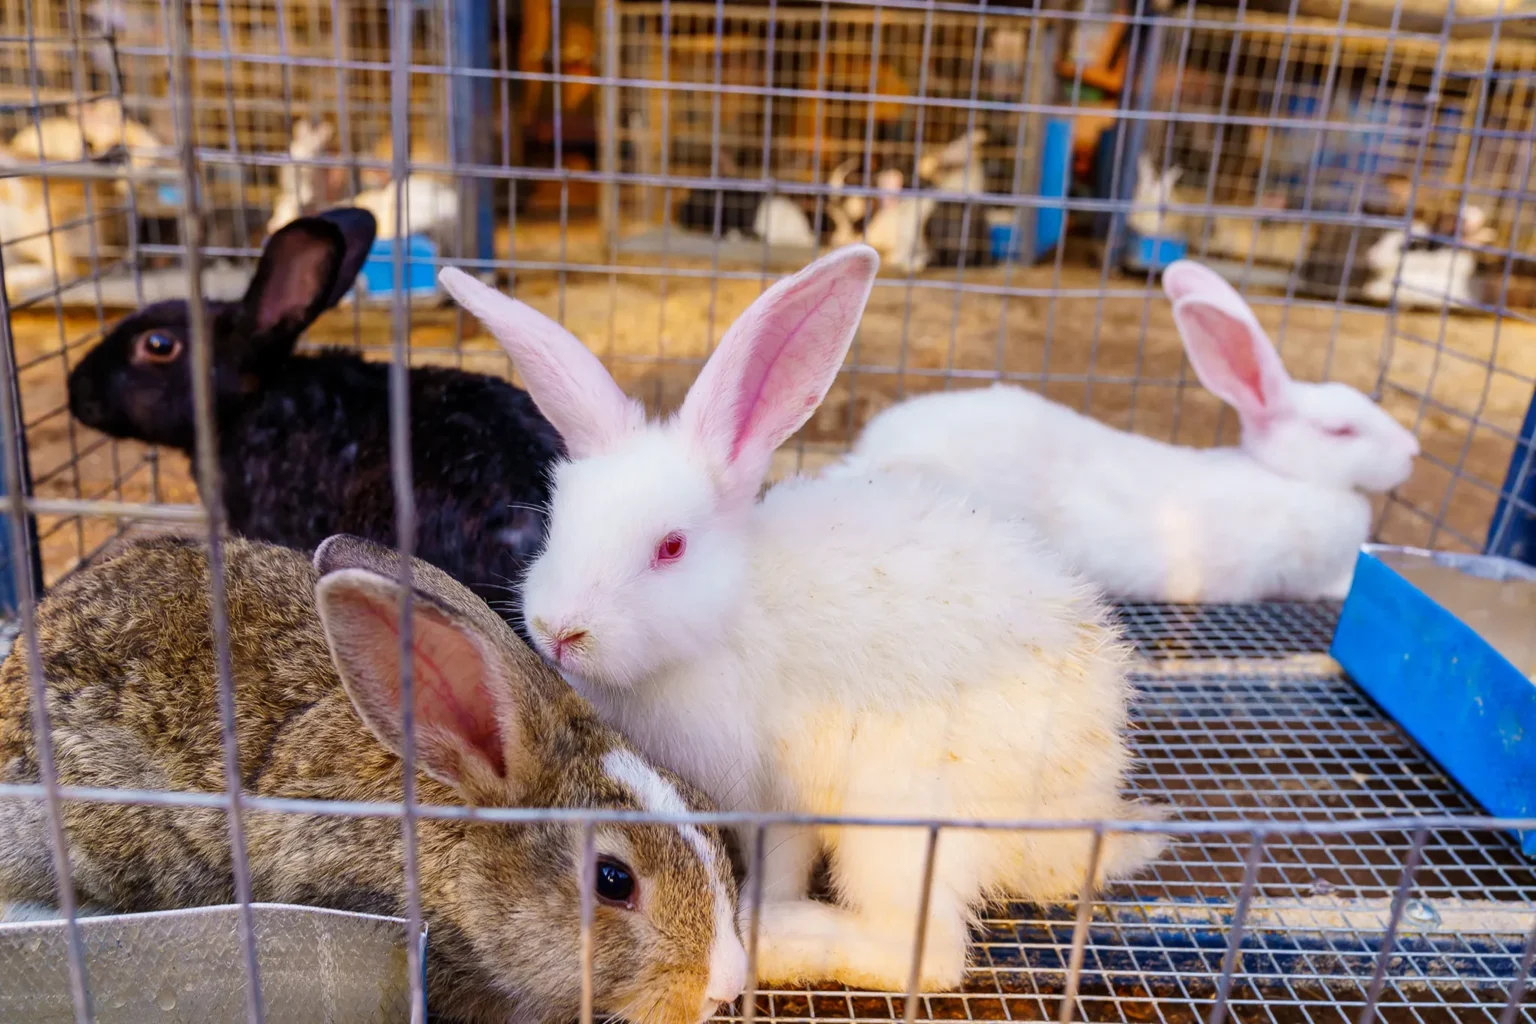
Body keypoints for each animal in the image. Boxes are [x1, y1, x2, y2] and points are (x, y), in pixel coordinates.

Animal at [437, 246, 1164, 993]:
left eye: (671, 547)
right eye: (557, 523)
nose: (560, 631)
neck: (725, 620)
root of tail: (1076, 812)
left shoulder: (776, 796)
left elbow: (782, 863)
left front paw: (758, 913)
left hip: (898, 824)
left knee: (924, 953)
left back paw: (782, 939)